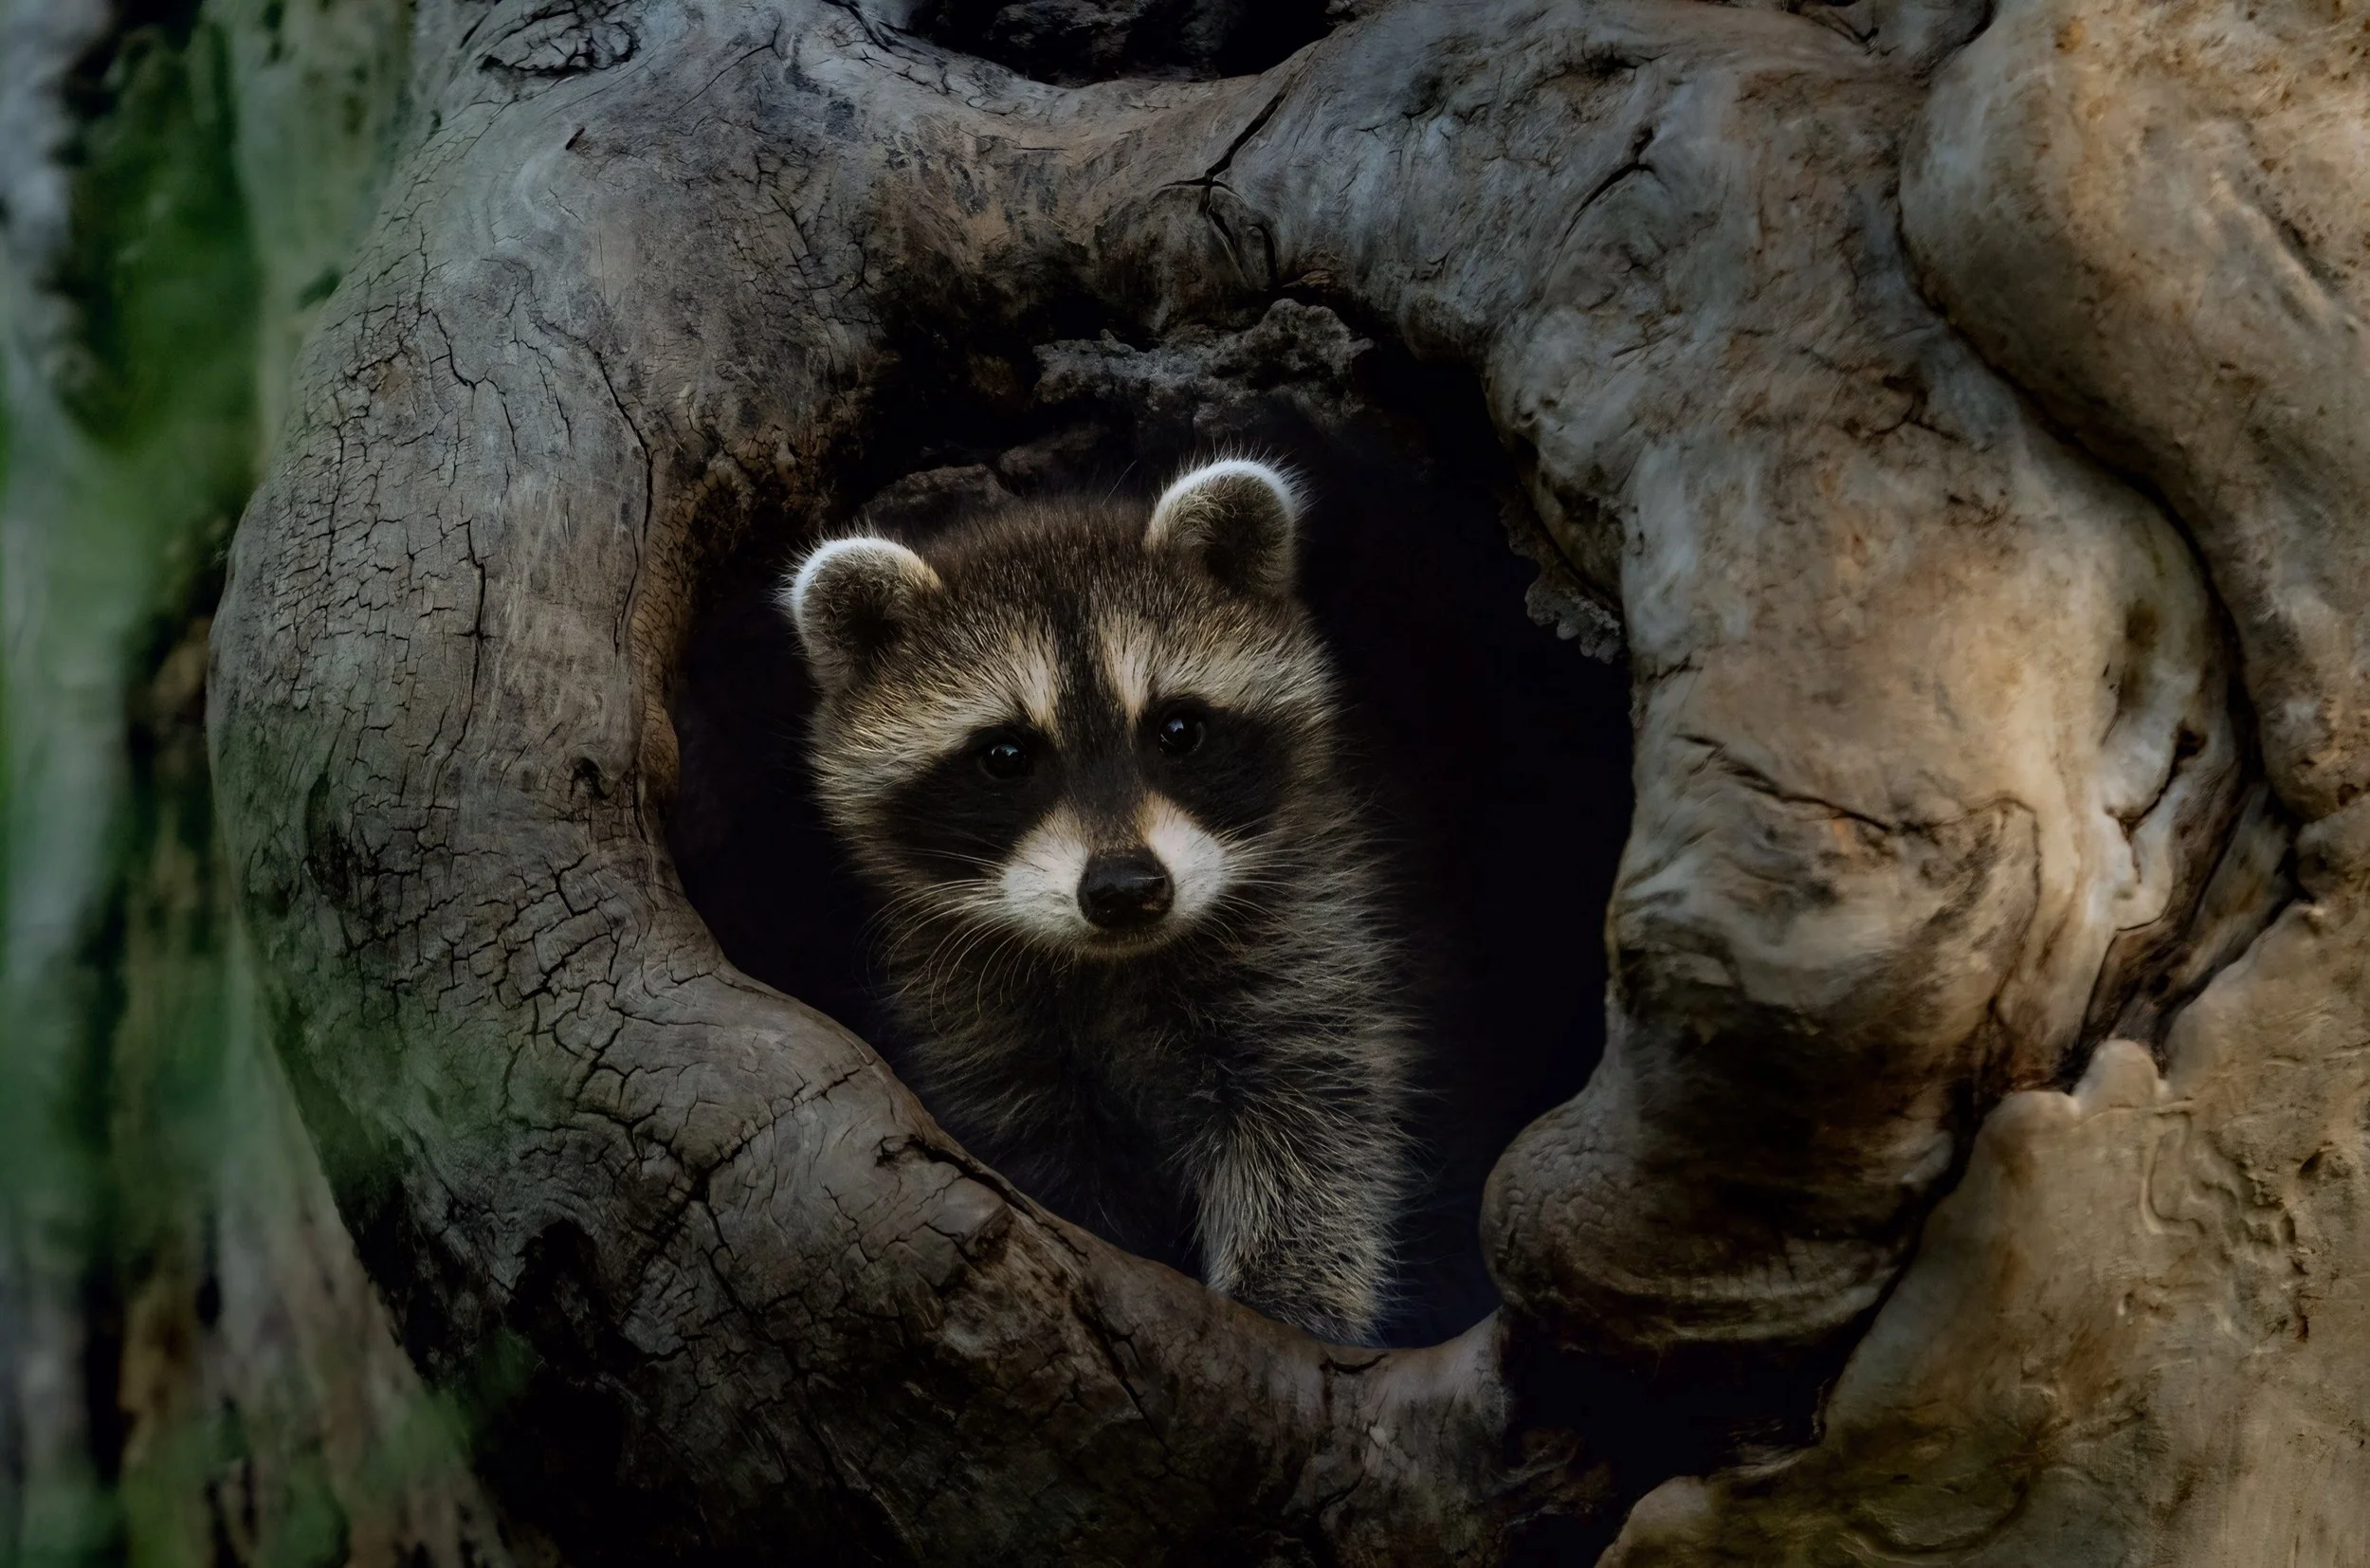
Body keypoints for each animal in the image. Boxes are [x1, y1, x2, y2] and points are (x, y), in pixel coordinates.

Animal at [782, 458, 1414, 1342]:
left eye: (1178, 730)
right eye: (1005, 756)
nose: (1126, 891)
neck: (1113, 962)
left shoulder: (1306, 930)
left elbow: (1316, 1110)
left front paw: (1292, 1294)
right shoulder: (973, 1021)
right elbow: (1039, 1156)